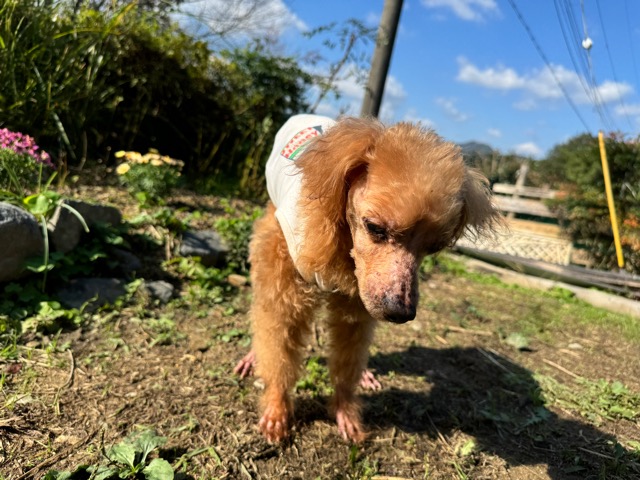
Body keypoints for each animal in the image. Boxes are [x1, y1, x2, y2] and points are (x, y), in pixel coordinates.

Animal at [234, 114, 500, 443]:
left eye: (433, 248)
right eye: (375, 228)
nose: (400, 313)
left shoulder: (359, 301)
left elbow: (348, 356)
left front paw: (345, 411)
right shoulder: (285, 288)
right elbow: (277, 343)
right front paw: (276, 409)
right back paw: (252, 357)